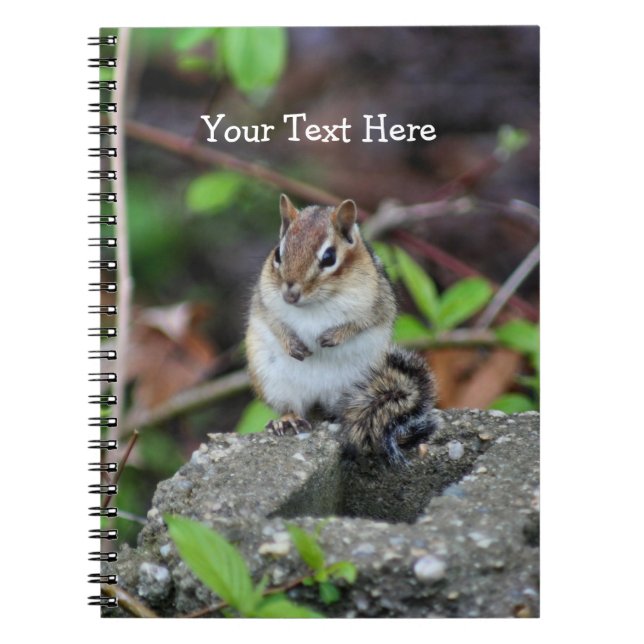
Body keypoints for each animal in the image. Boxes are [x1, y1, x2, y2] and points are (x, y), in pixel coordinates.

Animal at [245, 194, 438, 464]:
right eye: (278, 254)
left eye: (329, 258)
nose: (290, 294)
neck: (314, 304)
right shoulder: (263, 301)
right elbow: (274, 322)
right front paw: (291, 343)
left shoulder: (377, 303)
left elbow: (362, 322)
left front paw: (334, 336)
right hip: (273, 381)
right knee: (291, 406)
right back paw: (288, 420)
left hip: (359, 384)